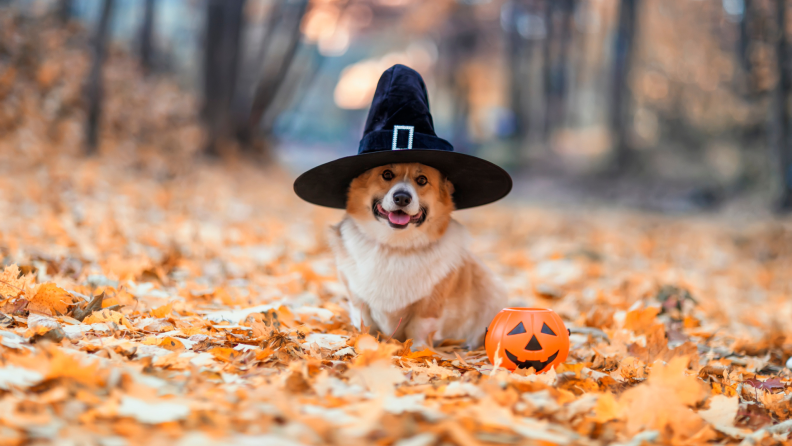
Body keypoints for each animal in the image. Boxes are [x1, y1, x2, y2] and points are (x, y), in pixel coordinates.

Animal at [328, 162, 508, 350]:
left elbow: (418, 327)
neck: (395, 245)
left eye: (422, 180)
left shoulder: (430, 305)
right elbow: (365, 322)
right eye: (387, 174)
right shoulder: (357, 297)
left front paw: (418, 350)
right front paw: (365, 342)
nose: (402, 198)